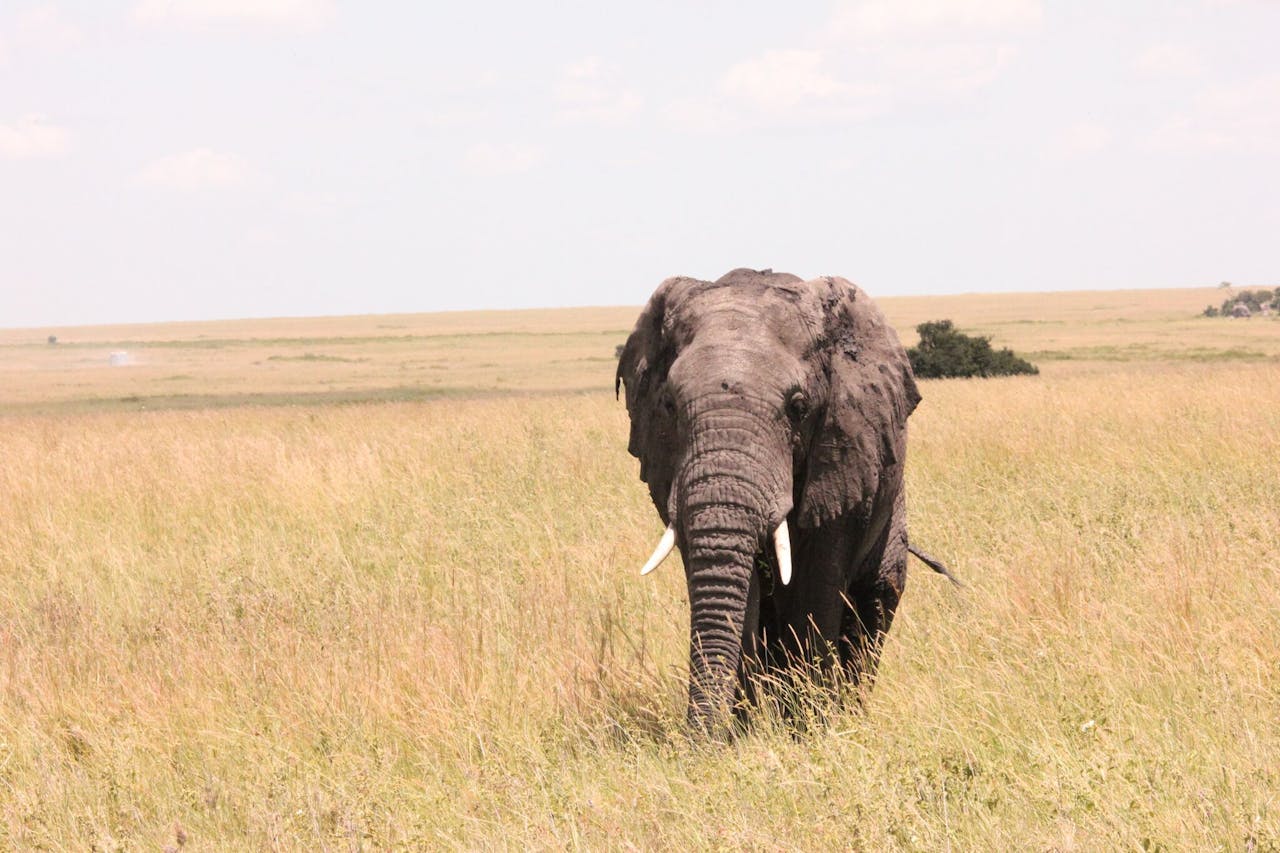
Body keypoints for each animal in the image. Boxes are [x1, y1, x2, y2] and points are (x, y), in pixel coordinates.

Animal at [614, 267, 957, 732]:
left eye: (798, 406)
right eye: (668, 404)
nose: (694, 740)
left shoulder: (842, 454)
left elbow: (814, 588)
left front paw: (810, 728)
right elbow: (739, 592)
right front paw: (743, 732)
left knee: (875, 601)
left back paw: (847, 710)